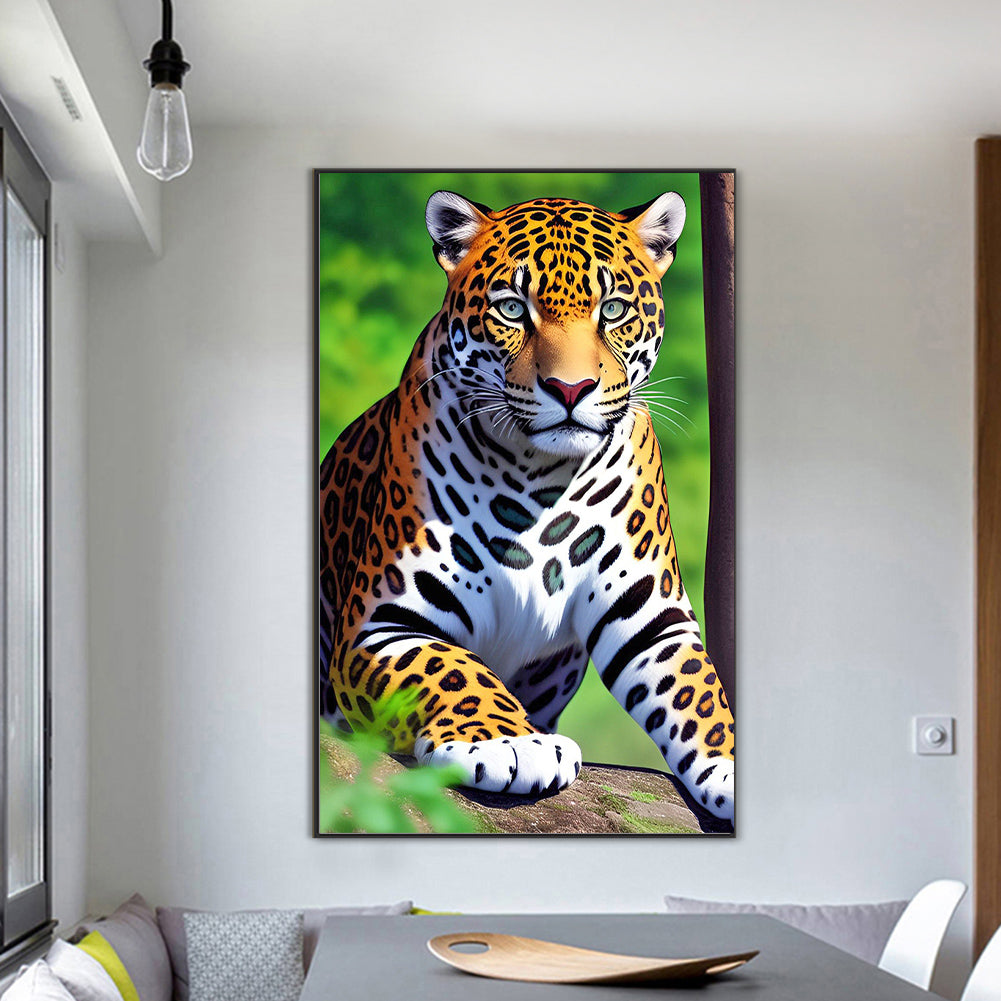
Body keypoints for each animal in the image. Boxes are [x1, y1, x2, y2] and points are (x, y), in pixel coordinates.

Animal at [318, 188, 735, 822]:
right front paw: (510, 743)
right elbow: (451, 667)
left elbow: (702, 692)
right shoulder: (380, 623)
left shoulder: (654, 620)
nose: (570, 389)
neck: (540, 476)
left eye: (614, 310)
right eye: (513, 309)